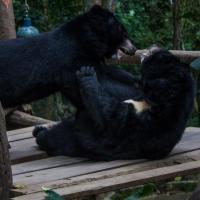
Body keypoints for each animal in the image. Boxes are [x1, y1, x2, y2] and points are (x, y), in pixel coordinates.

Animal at [33, 47, 195, 162]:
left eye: (157, 57)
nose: (151, 48)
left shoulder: (144, 123)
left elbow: (108, 118)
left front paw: (86, 74)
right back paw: (38, 129)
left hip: (71, 141)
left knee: (54, 138)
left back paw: (41, 134)